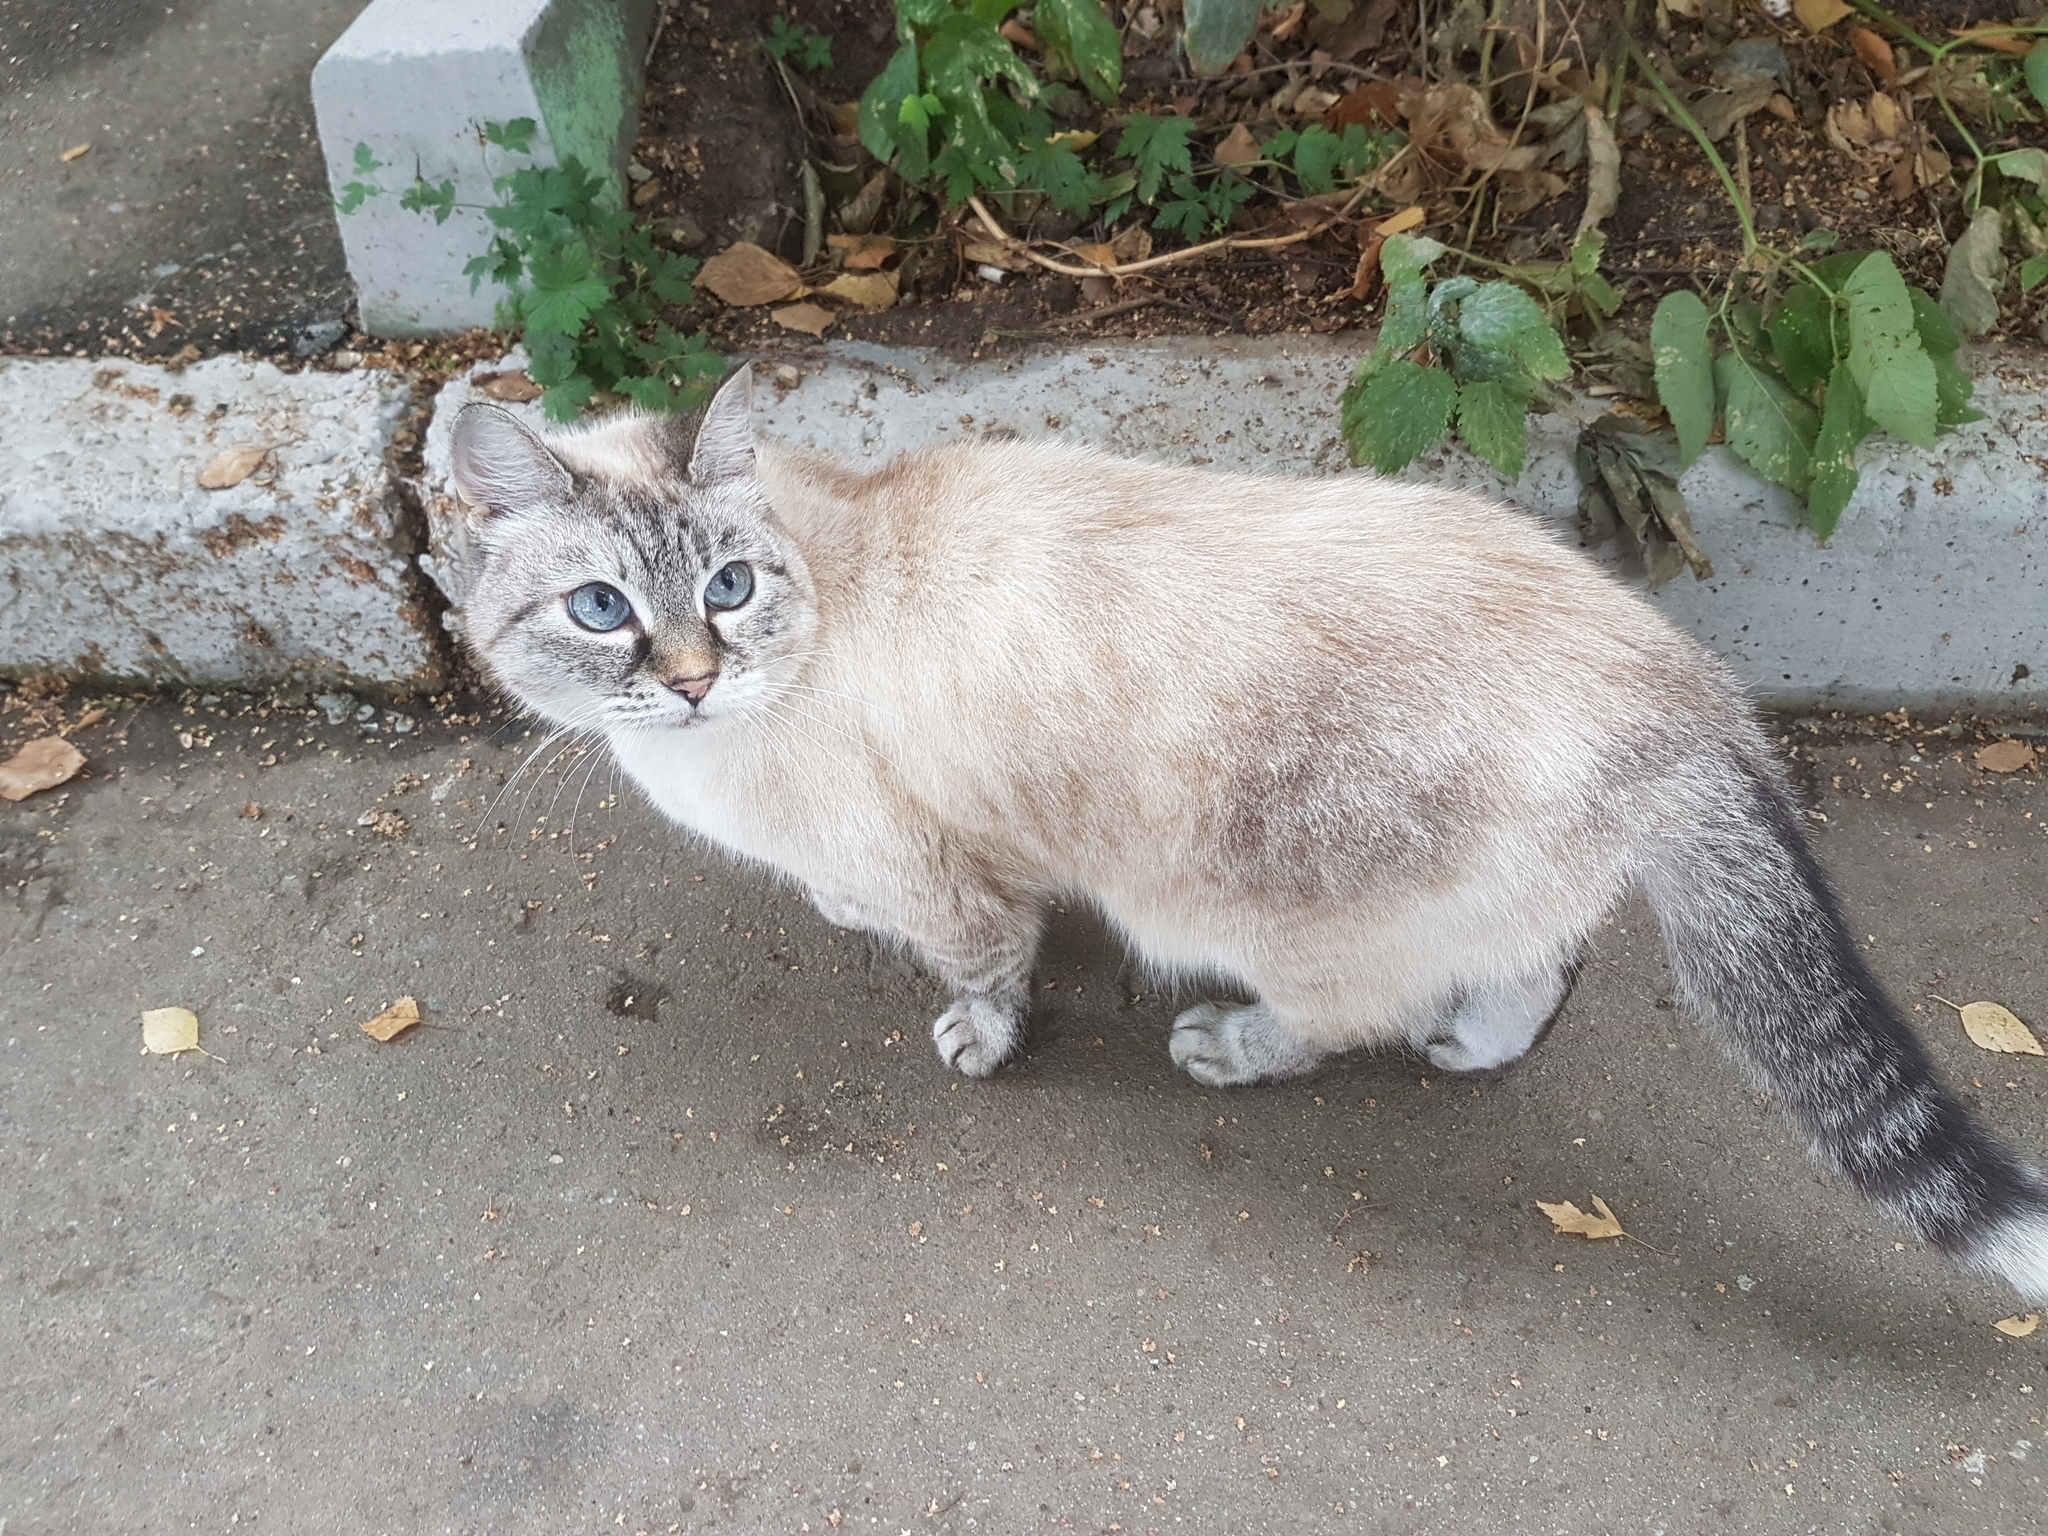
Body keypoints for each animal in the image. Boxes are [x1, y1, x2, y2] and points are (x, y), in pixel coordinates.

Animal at [448, 366, 2048, 1302]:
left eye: (726, 588)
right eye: (601, 609)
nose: (688, 679)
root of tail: (1685, 686)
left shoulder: (941, 876)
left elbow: (985, 964)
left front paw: (976, 1032)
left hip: (1230, 911)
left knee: (1357, 1010)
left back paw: (1236, 1046)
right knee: (1532, 971)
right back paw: (1476, 1041)